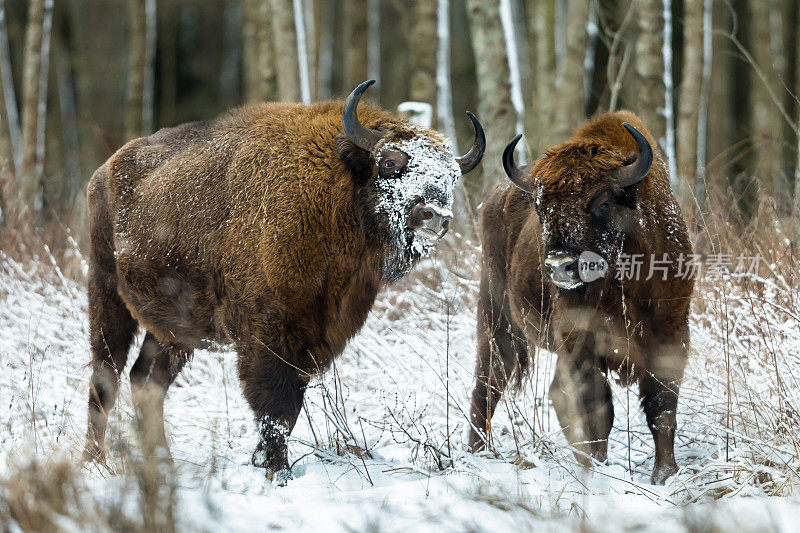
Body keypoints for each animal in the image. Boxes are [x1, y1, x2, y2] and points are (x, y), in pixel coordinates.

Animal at [86, 81, 488, 484]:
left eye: (452, 176)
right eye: (390, 162)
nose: (435, 215)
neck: (335, 194)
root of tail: (103, 171)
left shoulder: (314, 337)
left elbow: (290, 410)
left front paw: (262, 462)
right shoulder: (269, 335)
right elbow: (276, 408)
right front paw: (277, 472)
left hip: (173, 330)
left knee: (146, 380)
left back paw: (161, 464)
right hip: (106, 297)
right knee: (106, 377)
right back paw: (95, 462)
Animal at [468, 111, 692, 482]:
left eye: (603, 203)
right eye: (540, 208)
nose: (560, 266)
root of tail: (491, 200)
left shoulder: (670, 335)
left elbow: (662, 408)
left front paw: (665, 475)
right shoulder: (580, 343)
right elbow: (597, 408)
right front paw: (597, 468)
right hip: (497, 321)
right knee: (488, 383)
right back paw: (476, 452)